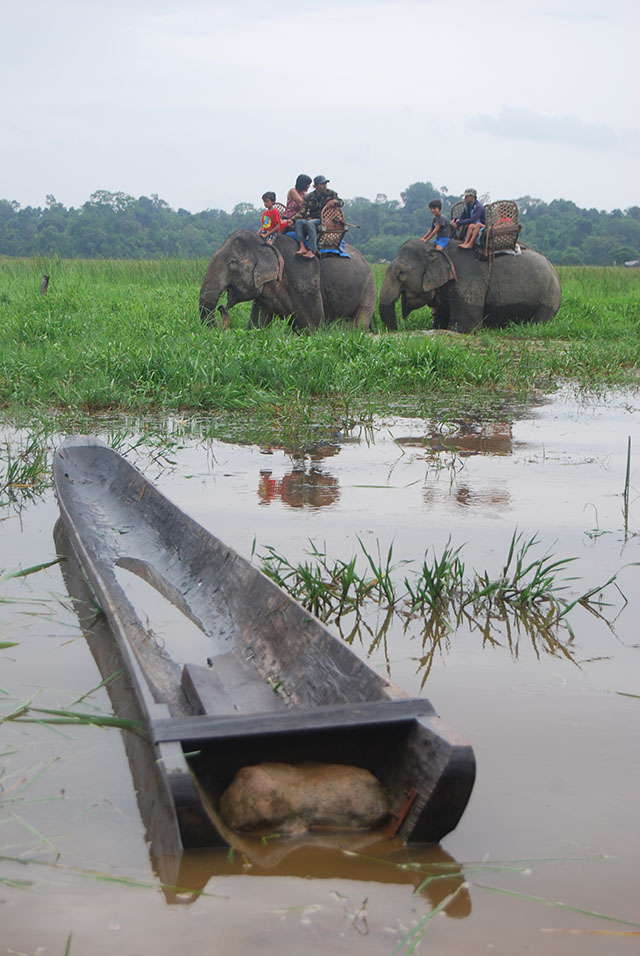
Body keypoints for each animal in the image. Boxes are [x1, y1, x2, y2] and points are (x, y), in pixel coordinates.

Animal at [199, 231, 376, 332]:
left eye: (232, 263)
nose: (221, 307)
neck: (266, 243)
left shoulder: (305, 280)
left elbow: (312, 325)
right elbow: (257, 325)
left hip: (369, 287)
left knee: (360, 321)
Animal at [378, 239, 564, 332]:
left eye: (401, 274)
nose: (398, 330)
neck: (435, 247)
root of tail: (555, 271)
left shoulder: (467, 279)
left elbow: (463, 326)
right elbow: (440, 322)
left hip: (548, 297)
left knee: (539, 321)